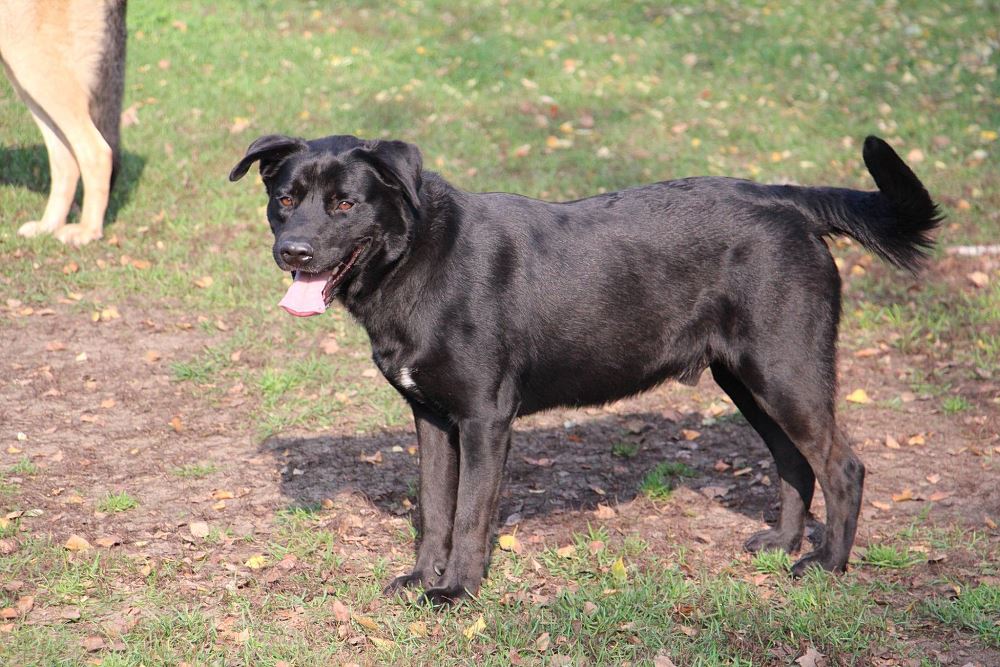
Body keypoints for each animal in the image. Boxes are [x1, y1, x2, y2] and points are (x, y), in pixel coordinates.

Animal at [0, 0, 127, 245]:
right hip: (29, 78)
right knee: (67, 160)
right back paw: (48, 226)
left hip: (34, 66)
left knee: (97, 152)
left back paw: (87, 231)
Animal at [231, 133, 940, 605]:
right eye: (285, 198)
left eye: (345, 205)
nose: (292, 251)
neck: (420, 261)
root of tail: (786, 201)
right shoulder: (432, 419)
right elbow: (433, 509)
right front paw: (420, 580)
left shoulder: (485, 420)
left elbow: (469, 515)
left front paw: (457, 592)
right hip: (744, 379)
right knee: (794, 460)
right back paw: (783, 545)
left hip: (787, 371)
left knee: (843, 466)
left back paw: (828, 565)